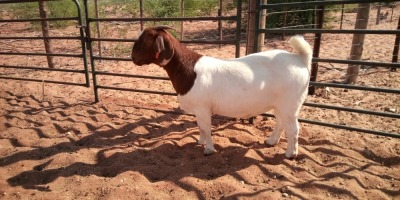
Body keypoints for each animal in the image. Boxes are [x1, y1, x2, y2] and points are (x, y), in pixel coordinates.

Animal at [131, 26, 312, 158]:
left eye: (145, 40)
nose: (132, 57)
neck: (188, 70)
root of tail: (300, 59)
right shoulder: (199, 109)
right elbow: (200, 127)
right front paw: (200, 142)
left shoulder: (202, 107)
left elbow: (206, 128)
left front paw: (208, 149)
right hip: (279, 105)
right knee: (281, 123)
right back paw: (271, 141)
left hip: (290, 104)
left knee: (294, 128)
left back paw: (290, 154)